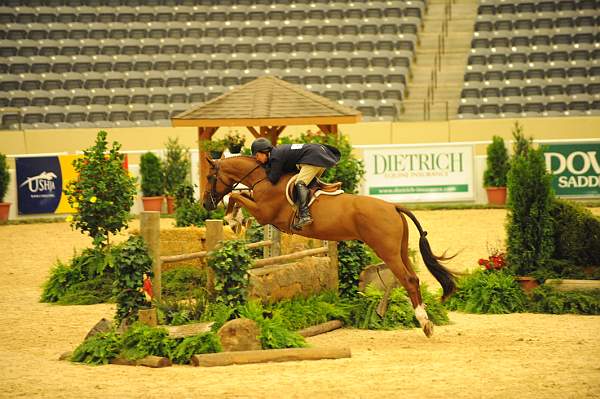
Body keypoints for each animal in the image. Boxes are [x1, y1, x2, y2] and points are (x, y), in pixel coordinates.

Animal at [204, 156, 458, 338]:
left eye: (208, 176)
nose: (206, 203)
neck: (264, 177)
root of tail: (393, 206)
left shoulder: (265, 214)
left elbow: (236, 195)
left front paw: (232, 220)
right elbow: (239, 195)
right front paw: (236, 220)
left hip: (387, 251)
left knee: (409, 280)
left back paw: (424, 324)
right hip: (400, 250)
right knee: (413, 277)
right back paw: (426, 320)